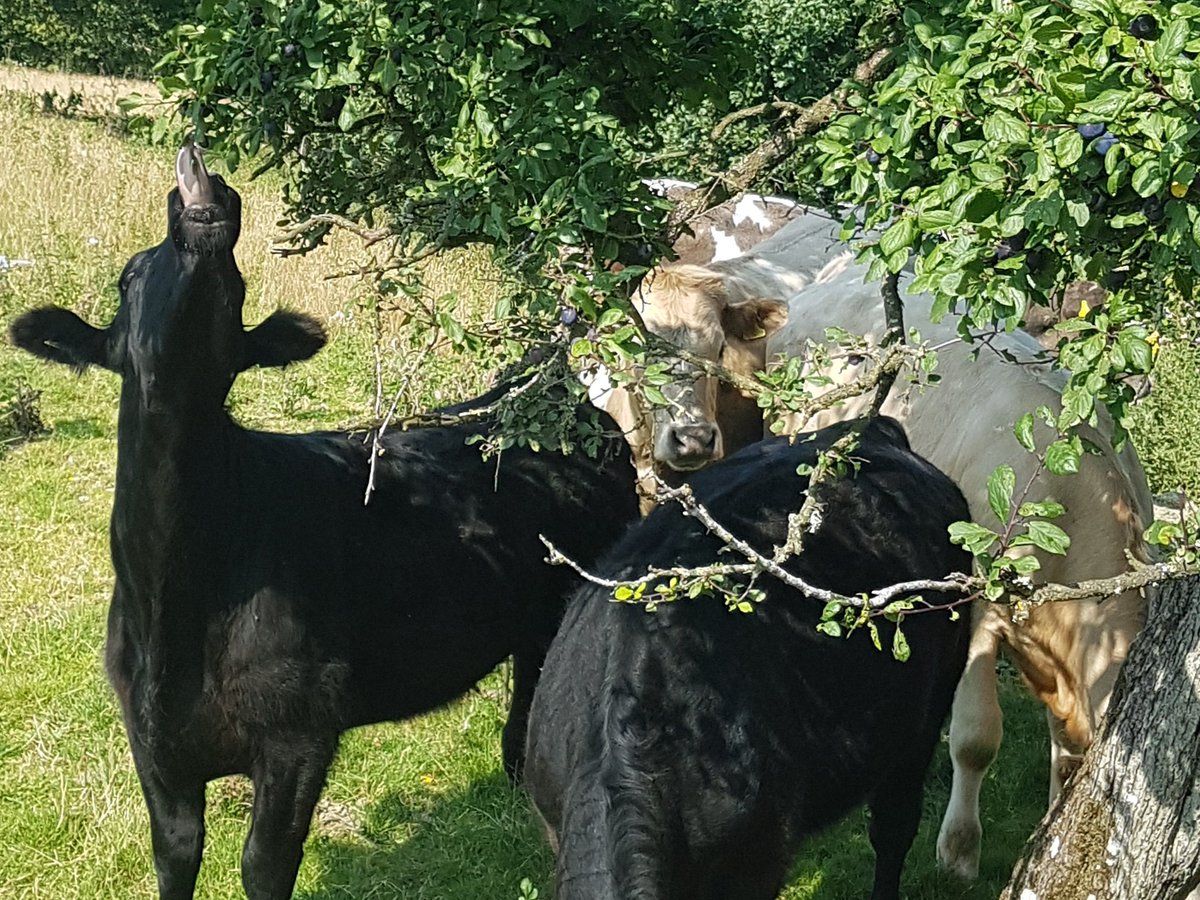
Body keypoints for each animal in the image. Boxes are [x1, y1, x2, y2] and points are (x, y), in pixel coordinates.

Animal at [7, 144, 639, 900]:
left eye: (237, 285)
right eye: (129, 276)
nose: (204, 202)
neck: (177, 594)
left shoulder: (300, 730)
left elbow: (265, 864)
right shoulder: (151, 737)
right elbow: (175, 854)